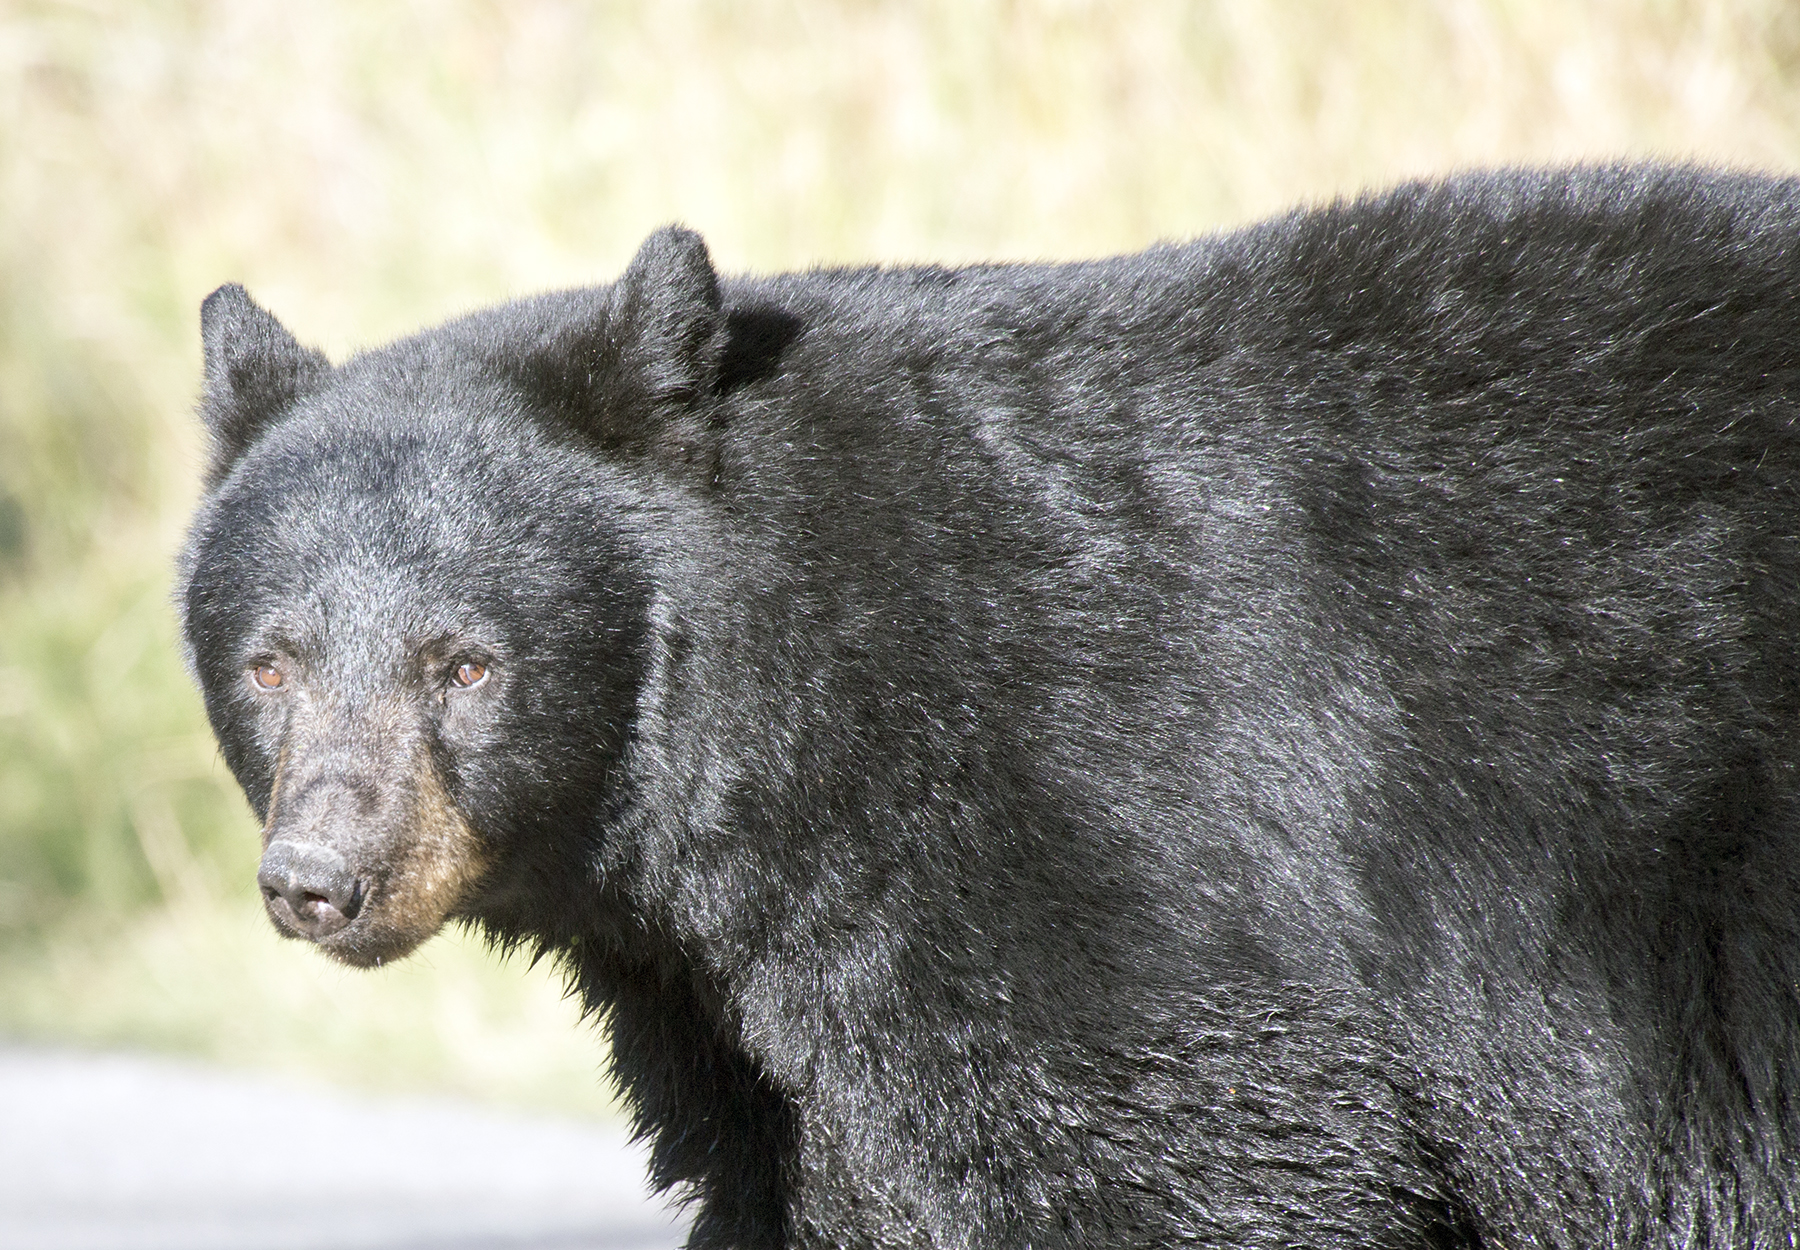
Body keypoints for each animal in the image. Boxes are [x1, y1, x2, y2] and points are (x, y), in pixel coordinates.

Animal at [182, 169, 1800, 1250]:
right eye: (271, 662)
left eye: (464, 662)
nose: (322, 877)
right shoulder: (734, 1016)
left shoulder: (1089, 827)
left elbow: (1182, 1150)